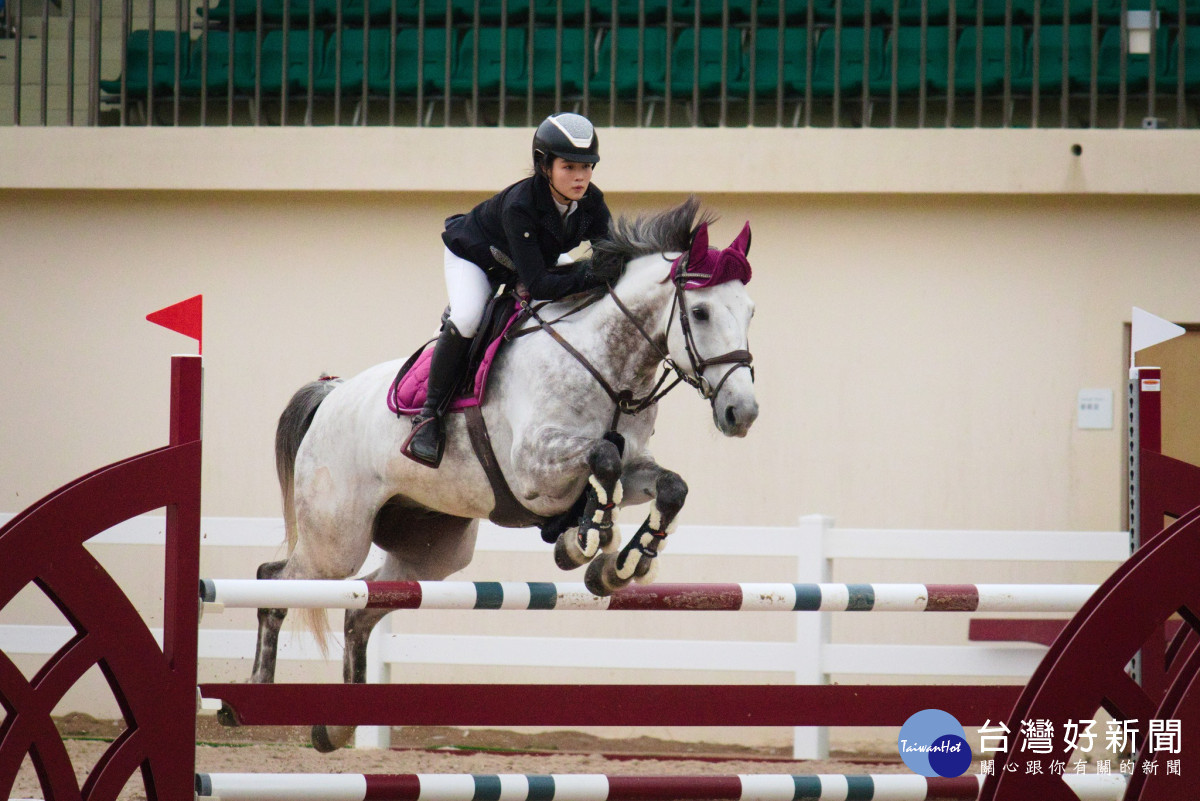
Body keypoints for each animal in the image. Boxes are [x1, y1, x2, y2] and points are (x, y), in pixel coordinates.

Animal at [250, 197, 759, 752]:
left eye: (750, 312)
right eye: (701, 312)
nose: (742, 413)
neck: (608, 366)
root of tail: (331, 394)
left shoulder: (632, 467)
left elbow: (668, 485)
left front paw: (622, 563)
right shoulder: (534, 468)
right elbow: (602, 458)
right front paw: (583, 541)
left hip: (432, 551)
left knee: (360, 608)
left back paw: (337, 726)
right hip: (336, 540)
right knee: (274, 583)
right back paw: (254, 701)